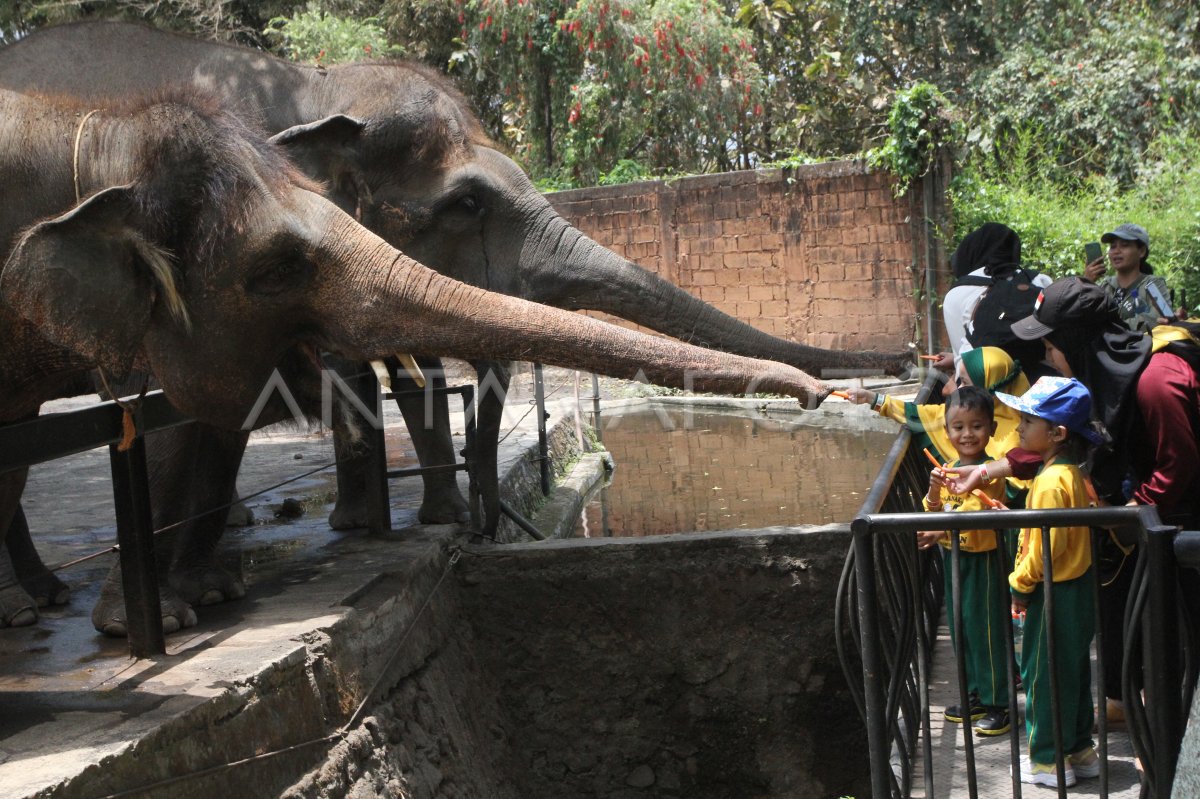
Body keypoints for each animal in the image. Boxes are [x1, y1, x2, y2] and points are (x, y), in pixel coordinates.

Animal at [0, 20, 907, 633]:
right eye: (467, 202)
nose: (867, 381)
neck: (316, 88)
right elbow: (183, 410)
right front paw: (168, 614)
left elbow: (376, 376)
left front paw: (402, 524)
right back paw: (42, 605)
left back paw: (54, 594)